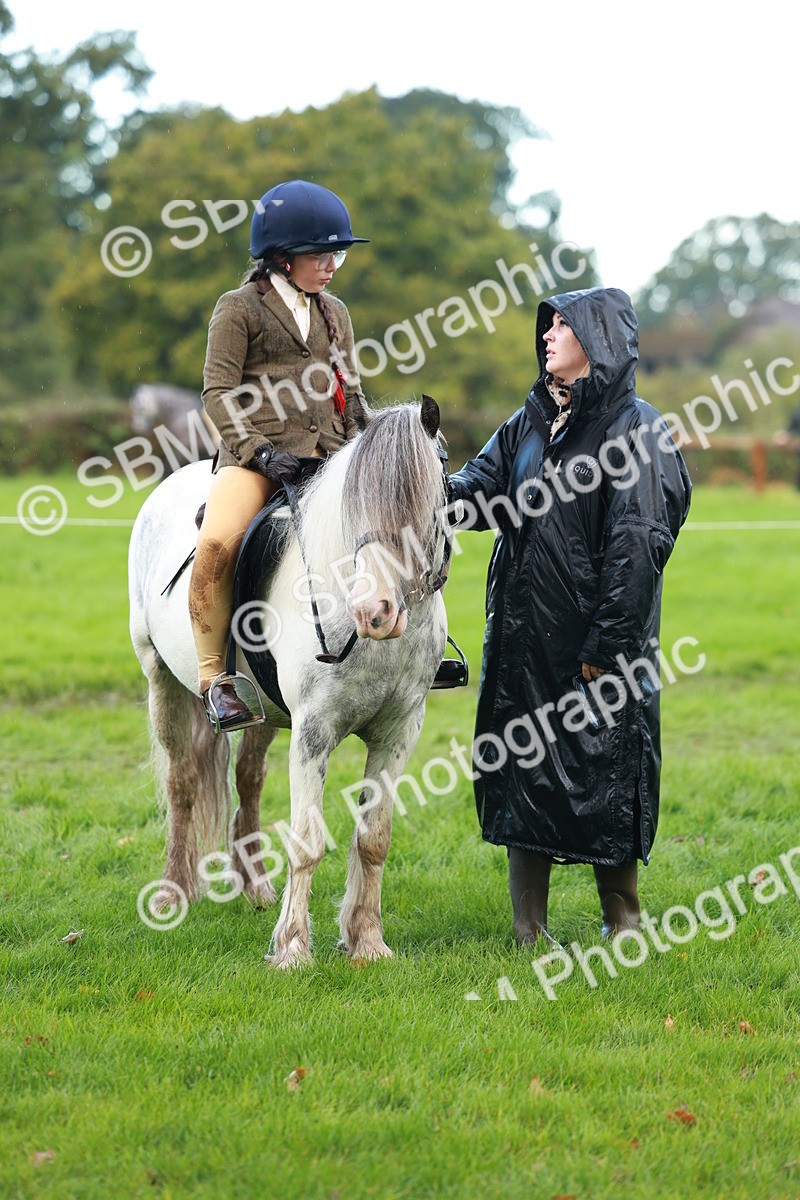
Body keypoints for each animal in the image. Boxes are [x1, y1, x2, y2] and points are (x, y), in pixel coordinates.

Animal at [128, 396, 453, 969]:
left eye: (429, 501)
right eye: (354, 505)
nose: (374, 611)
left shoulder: (398, 732)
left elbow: (374, 837)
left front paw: (368, 942)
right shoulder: (313, 733)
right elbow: (306, 841)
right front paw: (294, 948)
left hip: (262, 706)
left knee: (249, 779)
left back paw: (256, 887)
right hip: (160, 679)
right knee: (181, 782)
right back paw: (171, 893)